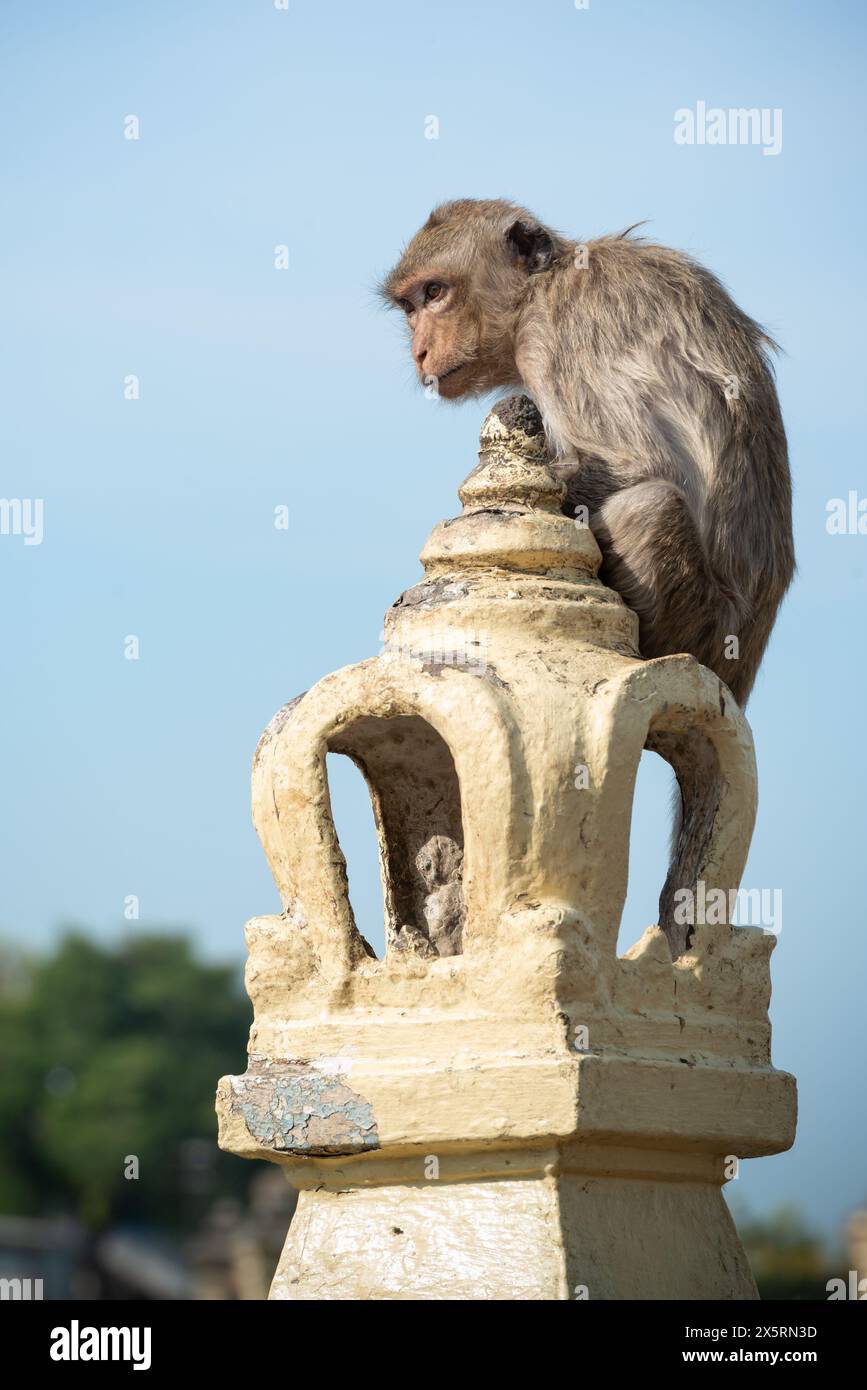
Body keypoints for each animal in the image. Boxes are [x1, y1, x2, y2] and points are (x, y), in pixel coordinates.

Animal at [377, 197, 794, 711]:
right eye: (409, 306)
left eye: (435, 292)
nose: (419, 351)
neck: (539, 287)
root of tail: (736, 676)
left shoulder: (551, 335)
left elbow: (638, 462)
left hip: (703, 626)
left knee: (648, 507)